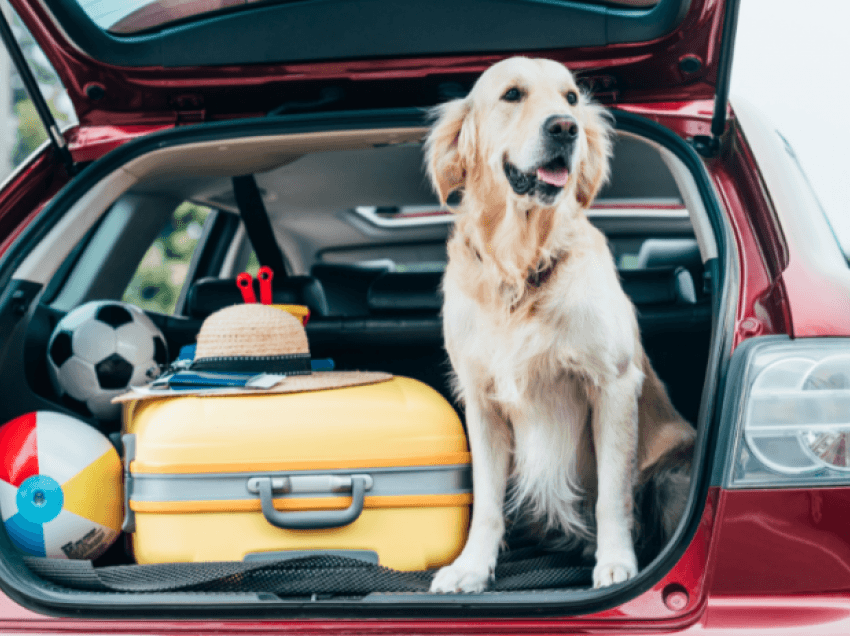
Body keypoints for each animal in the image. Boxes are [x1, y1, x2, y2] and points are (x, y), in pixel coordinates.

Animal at [424, 57, 696, 592]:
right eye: (512, 94)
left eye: (571, 97)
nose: (565, 128)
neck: (521, 265)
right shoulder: (481, 400)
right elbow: (486, 502)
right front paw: (471, 567)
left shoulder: (612, 385)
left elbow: (613, 494)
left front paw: (616, 562)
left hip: (673, 473)